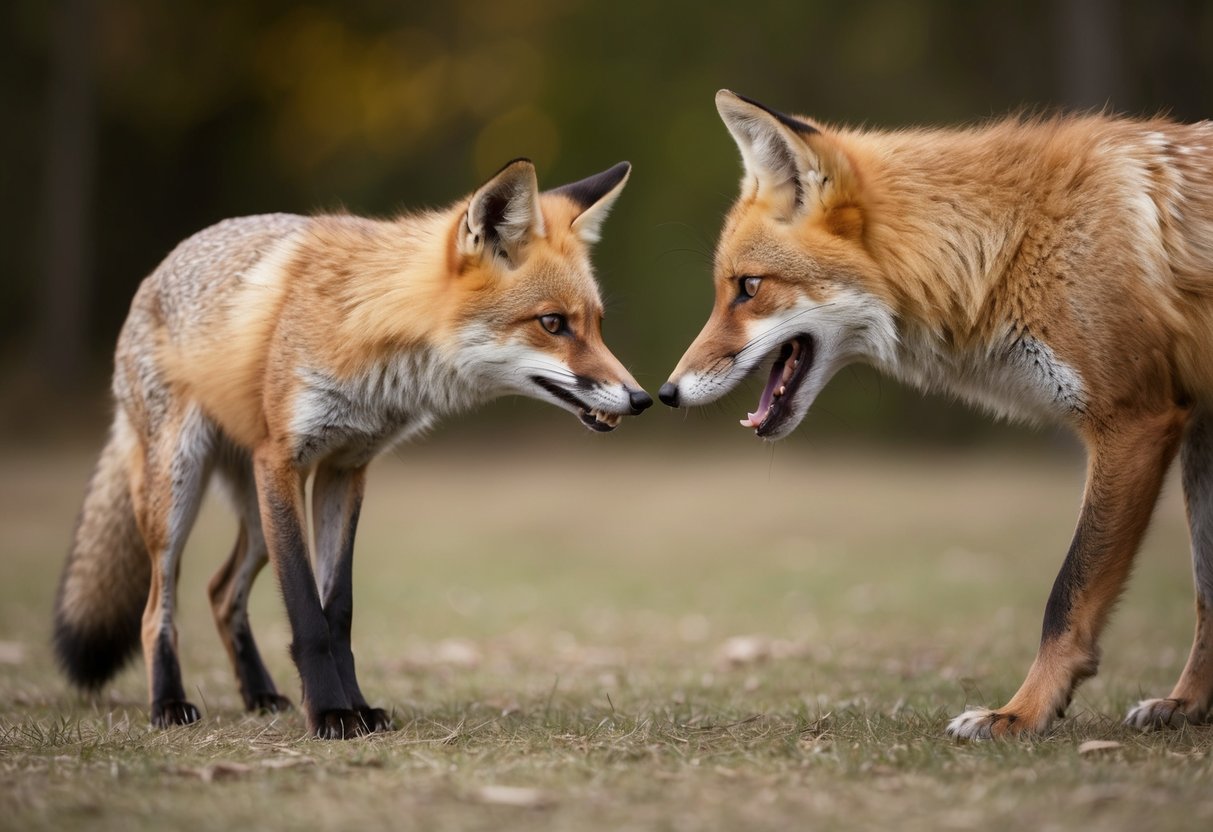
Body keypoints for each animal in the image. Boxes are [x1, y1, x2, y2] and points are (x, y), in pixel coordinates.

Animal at [53, 158, 652, 738]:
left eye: (597, 325)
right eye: (553, 323)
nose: (642, 398)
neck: (373, 340)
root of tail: (159, 268)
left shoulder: (345, 468)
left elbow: (336, 608)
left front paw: (358, 708)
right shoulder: (283, 461)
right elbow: (306, 613)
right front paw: (329, 715)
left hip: (257, 520)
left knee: (220, 592)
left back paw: (259, 695)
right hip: (179, 494)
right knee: (156, 609)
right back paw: (168, 703)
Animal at [661, 90, 1213, 739]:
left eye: (748, 287)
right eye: (727, 289)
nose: (665, 392)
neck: (1014, 244)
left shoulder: (1134, 420)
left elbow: (1067, 594)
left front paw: (1023, 713)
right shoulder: (1198, 422)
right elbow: (1207, 590)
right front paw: (1191, 704)